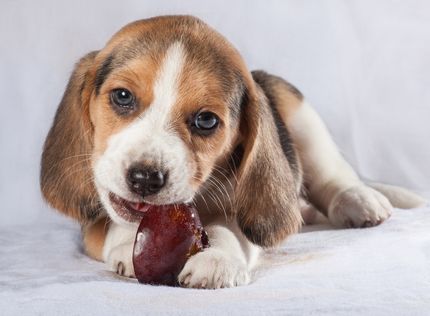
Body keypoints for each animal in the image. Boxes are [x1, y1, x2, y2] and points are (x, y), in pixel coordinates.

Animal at [39, 14, 424, 288]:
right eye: (122, 96)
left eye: (206, 120)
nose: (145, 178)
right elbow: (111, 224)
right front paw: (124, 245)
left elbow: (232, 229)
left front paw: (217, 260)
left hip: (296, 108)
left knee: (332, 175)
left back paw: (356, 199)